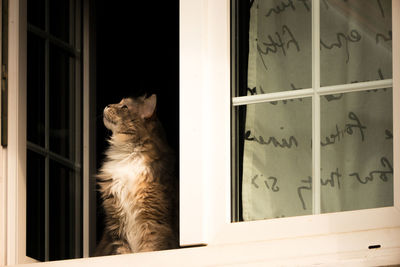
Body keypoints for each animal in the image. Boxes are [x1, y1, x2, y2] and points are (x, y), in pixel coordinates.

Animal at [94, 95, 177, 256]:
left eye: (124, 107)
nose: (107, 105)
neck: (128, 156)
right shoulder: (116, 226)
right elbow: (123, 252)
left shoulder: (153, 222)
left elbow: (148, 249)